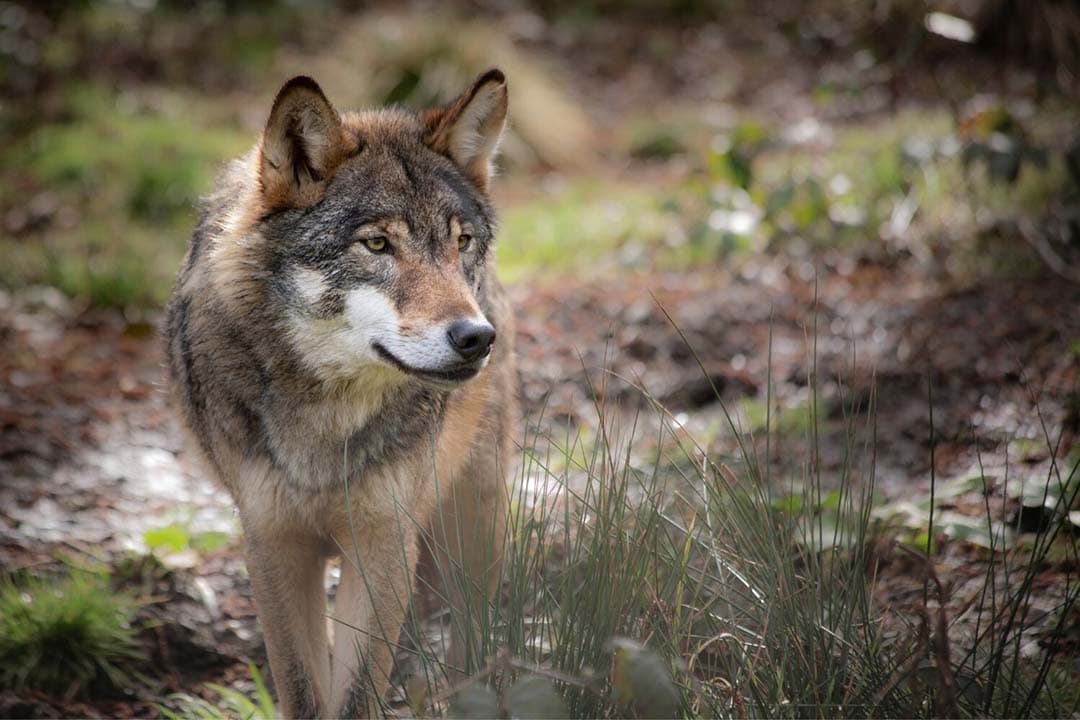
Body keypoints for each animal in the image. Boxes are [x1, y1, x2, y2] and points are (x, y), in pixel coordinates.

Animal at [162, 70, 517, 718]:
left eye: (461, 242)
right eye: (377, 245)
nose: (476, 337)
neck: (325, 421)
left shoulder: (384, 544)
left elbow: (356, 695)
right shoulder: (274, 546)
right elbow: (306, 691)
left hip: (473, 523)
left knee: (472, 646)